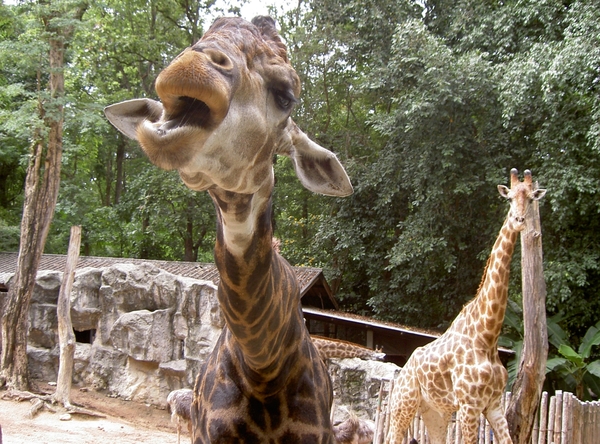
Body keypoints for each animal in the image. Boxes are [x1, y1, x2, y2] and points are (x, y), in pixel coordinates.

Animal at [386, 169, 548, 444]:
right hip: (404, 403)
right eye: (509, 198)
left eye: (530, 199)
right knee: (391, 436)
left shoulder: (494, 405)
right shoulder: (469, 405)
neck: (487, 335)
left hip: (435, 412)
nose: (520, 220)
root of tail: (403, 370)